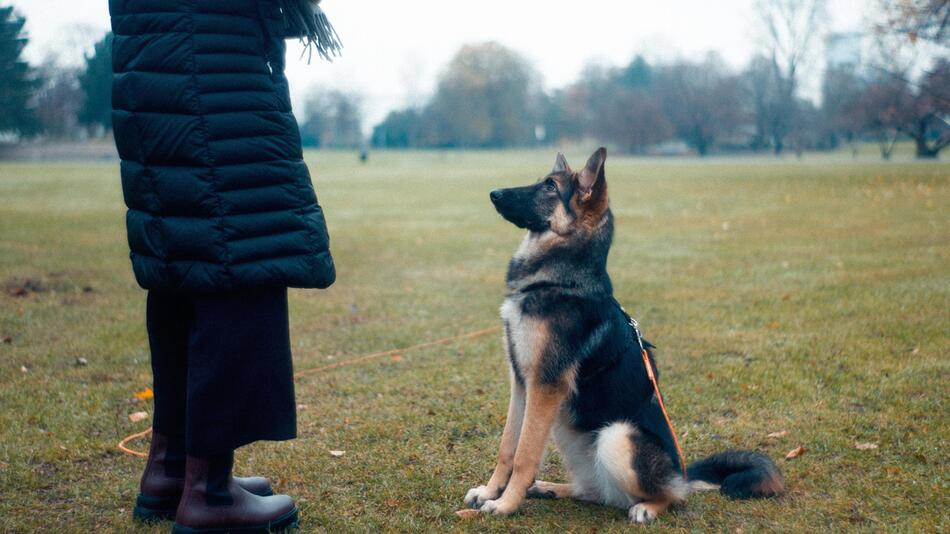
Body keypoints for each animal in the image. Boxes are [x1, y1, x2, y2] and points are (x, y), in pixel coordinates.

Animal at [464, 150, 784, 524]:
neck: (560, 280)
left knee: (672, 497)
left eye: (550, 187)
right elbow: (508, 448)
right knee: (594, 492)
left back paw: (647, 506)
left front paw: (505, 505)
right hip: (567, 429)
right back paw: (550, 488)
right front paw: (490, 492)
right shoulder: (522, 383)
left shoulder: (545, 386)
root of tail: (682, 473)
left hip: (616, 436)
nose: (493, 193)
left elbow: (525, 455)